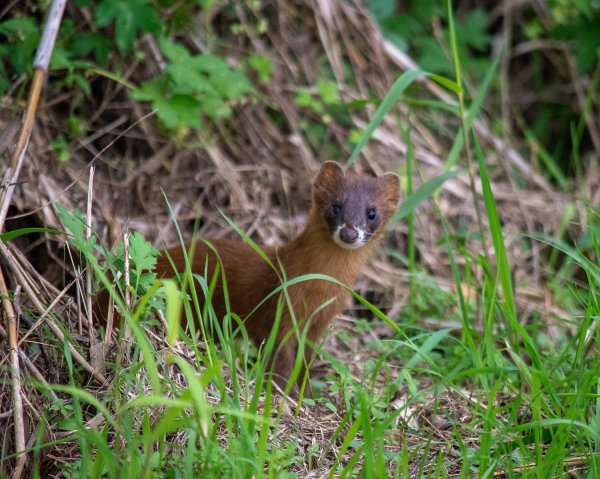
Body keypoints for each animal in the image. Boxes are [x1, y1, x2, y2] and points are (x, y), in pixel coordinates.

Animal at [152, 161, 400, 390]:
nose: (349, 233)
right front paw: (284, 394)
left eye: (372, 213)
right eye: (336, 207)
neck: (318, 291)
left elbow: (304, 362)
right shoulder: (280, 308)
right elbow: (280, 361)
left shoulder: (319, 322)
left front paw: (305, 393)